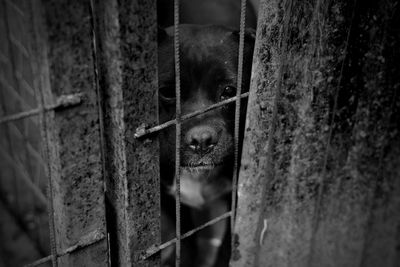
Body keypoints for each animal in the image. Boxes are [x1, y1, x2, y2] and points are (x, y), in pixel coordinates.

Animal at [157, 1, 256, 266]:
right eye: (167, 92)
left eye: (229, 91)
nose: (202, 140)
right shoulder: (168, 199)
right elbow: (185, 239)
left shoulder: (235, 200)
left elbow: (228, 244)